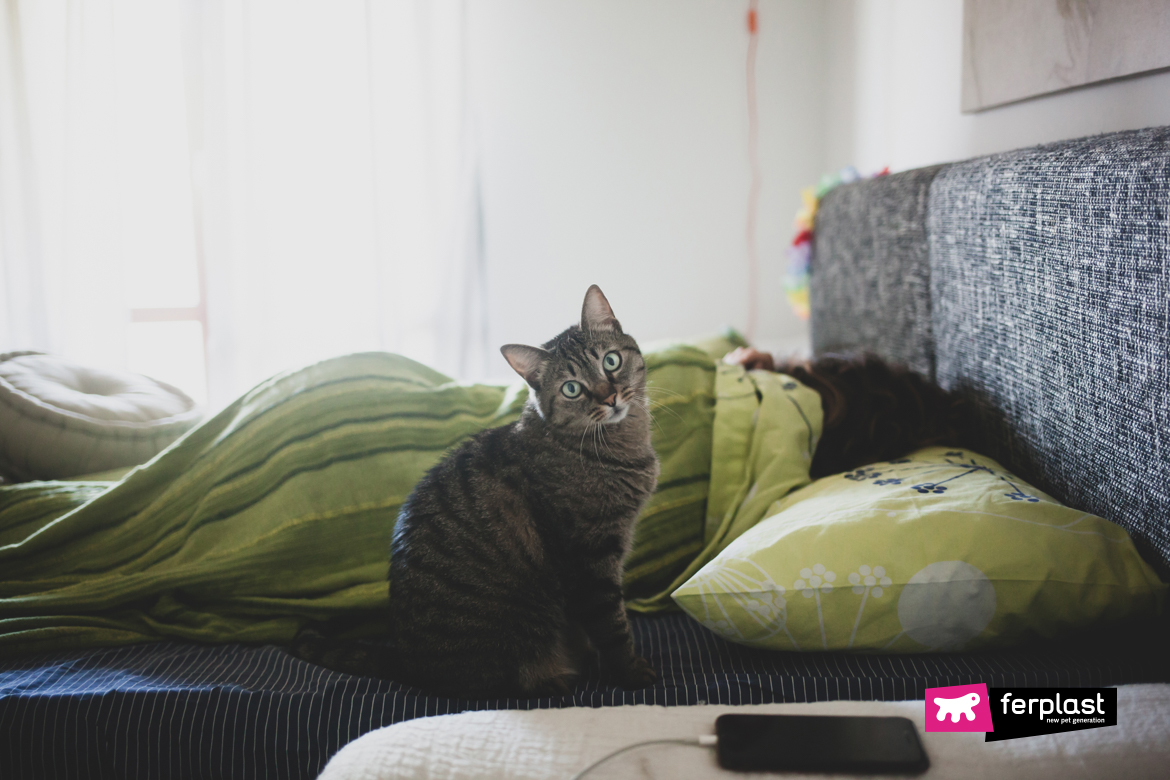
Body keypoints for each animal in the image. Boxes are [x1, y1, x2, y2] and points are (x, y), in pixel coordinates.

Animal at [292, 285, 659, 696]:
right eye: (572, 388)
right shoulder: (591, 557)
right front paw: (631, 672)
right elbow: (611, 625)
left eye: (611, 362)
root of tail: (408, 661)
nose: (610, 397)